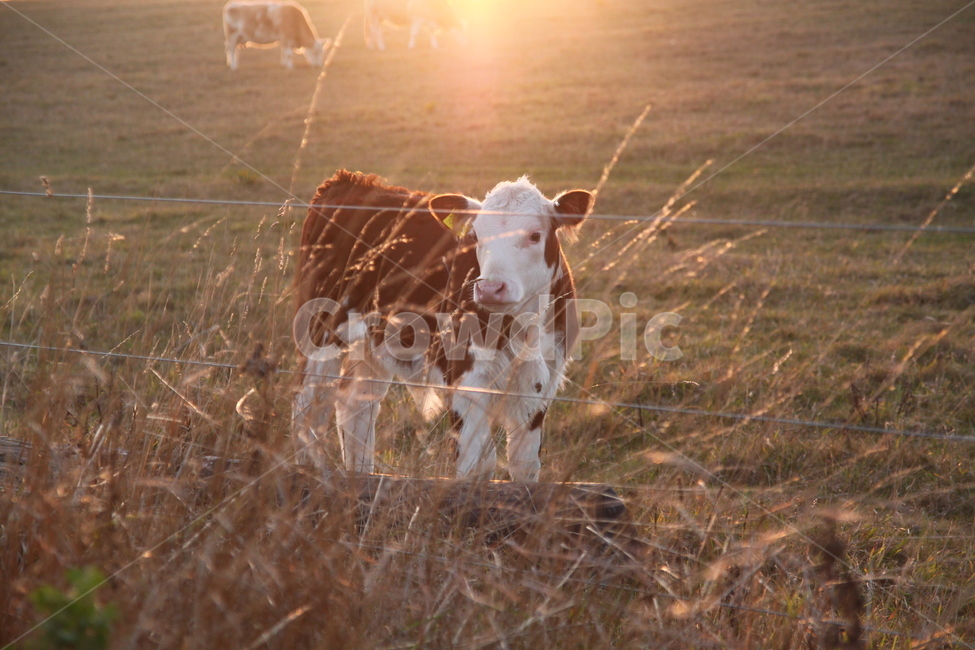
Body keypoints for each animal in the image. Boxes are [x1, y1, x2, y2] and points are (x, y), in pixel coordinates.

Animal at [292, 170, 594, 481]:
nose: (490, 288)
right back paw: (304, 469)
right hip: (320, 330)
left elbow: (524, 464)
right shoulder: (466, 379)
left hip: (372, 343)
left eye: (535, 235)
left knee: (355, 404)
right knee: (306, 405)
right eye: (476, 236)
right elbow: (476, 465)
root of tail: (349, 181)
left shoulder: (540, 383)